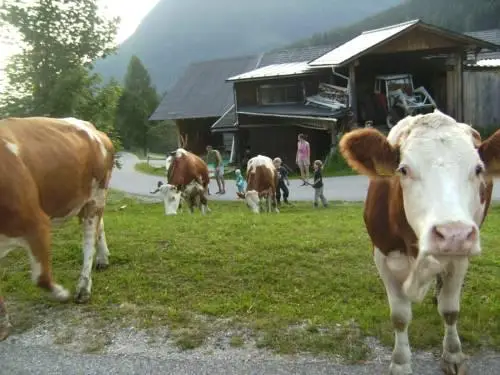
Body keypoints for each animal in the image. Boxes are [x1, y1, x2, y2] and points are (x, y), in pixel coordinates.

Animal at [0, 116, 115, 342]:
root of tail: (94, 129)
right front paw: (3, 326)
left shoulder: (37, 223)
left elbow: (42, 278)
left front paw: (62, 294)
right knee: (100, 226)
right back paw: (103, 259)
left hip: (96, 195)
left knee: (89, 240)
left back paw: (83, 288)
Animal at [336, 107, 500, 374]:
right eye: (403, 169)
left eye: (478, 169)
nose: (453, 234)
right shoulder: (382, 256)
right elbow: (400, 316)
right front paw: (401, 363)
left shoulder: (459, 258)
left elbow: (450, 310)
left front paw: (452, 354)